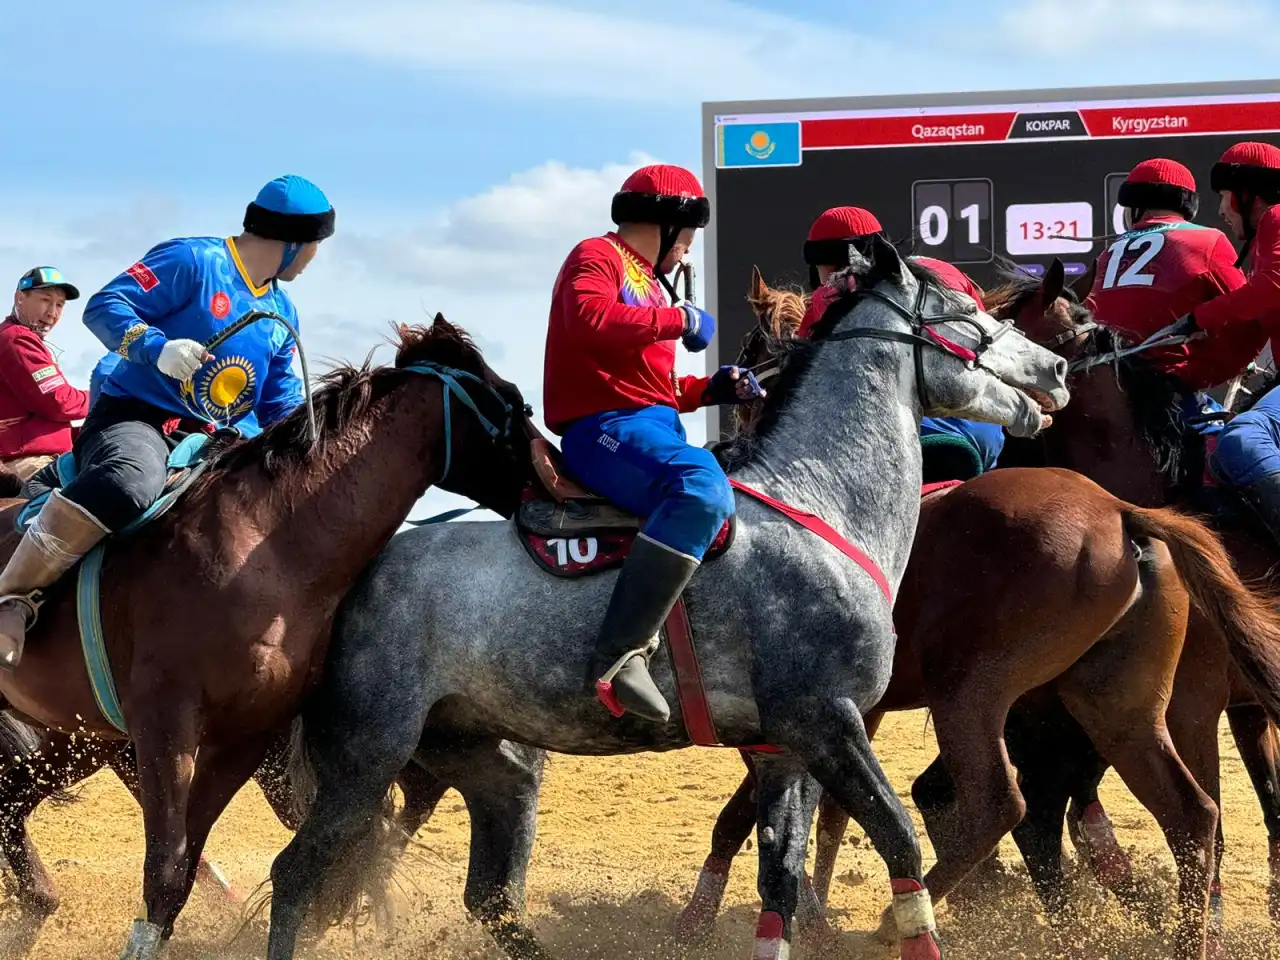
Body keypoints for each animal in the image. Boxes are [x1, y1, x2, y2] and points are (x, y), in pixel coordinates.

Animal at [0, 317, 529, 960]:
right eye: (516, 404)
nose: (557, 480)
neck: (264, 547)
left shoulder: (244, 738)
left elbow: (182, 871)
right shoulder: (165, 729)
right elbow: (166, 870)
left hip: (74, 741)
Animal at [262, 239, 1070, 960]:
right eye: (970, 313)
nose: (1057, 366)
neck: (820, 502)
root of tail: (356, 575)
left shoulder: (785, 752)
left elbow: (780, 886)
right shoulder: (828, 722)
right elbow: (899, 843)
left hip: (489, 765)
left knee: (488, 895)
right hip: (369, 756)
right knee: (295, 873)